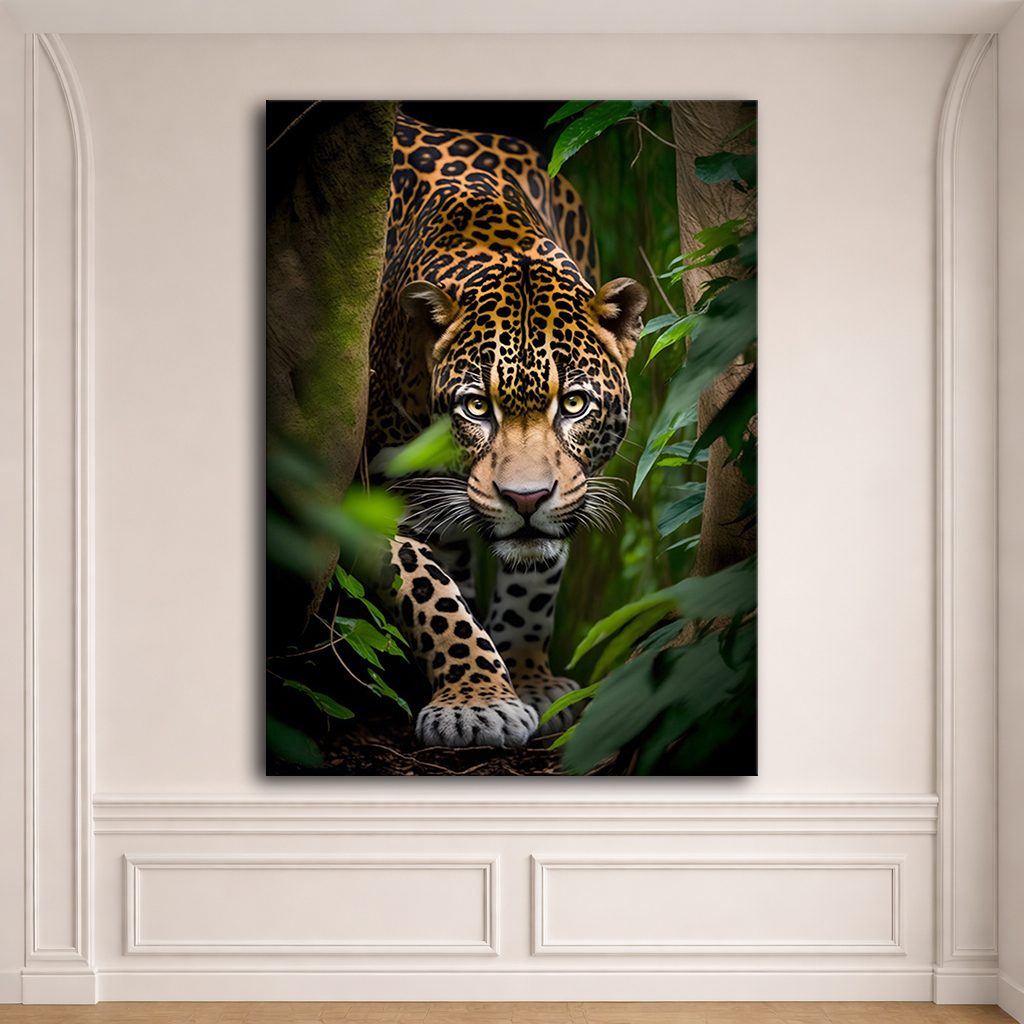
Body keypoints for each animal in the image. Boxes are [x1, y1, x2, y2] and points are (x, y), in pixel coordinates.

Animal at [364, 109, 647, 749]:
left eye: (573, 404)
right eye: (475, 408)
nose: (525, 499)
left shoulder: (567, 493)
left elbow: (533, 585)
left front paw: (528, 680)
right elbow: (429, 591)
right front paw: (477, 701)